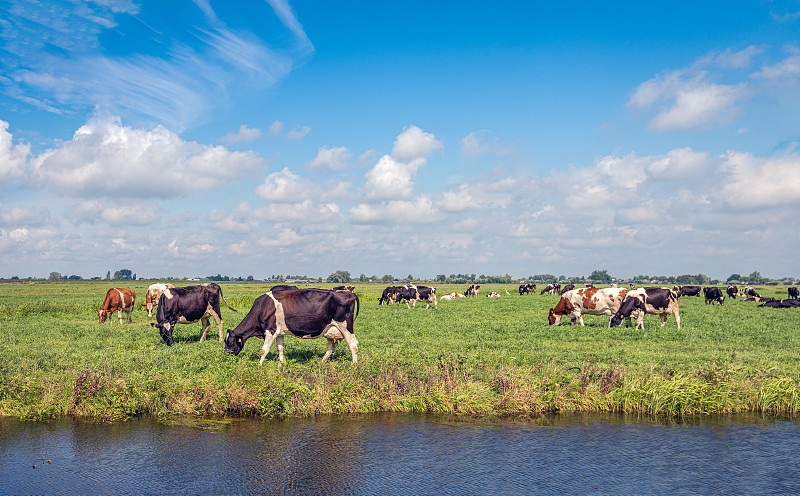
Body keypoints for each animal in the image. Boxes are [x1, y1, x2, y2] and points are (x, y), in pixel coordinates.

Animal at [222, 288, 360, 366]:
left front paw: (259, 366)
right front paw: (281, 364)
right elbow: (280, 348)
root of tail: (349, 294)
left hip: (345, 326)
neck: (262, 308)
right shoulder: (279, 332)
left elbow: (263, 350)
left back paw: (353, 365)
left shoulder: (270, 331)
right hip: (331, 329)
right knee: (332, 345)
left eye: (230, 343)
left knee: (353, 344)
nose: (225, 357)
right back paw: (321, 361)